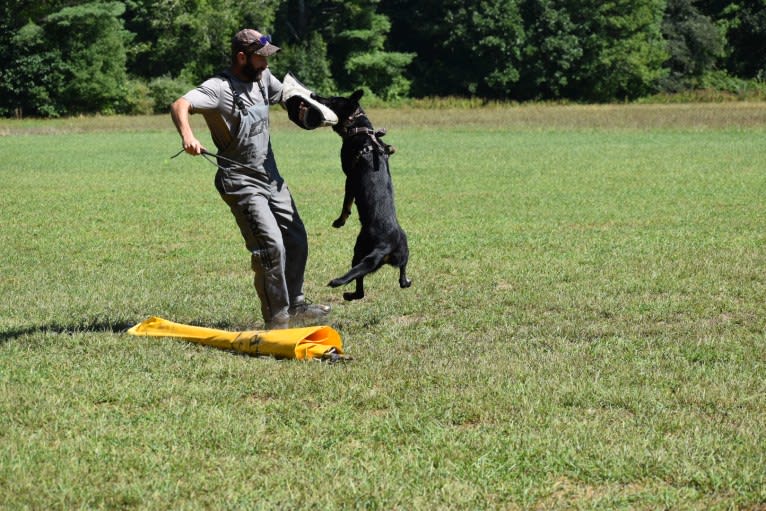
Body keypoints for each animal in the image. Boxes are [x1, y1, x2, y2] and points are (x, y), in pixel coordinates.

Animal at [314, 90, 414, 302]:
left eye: (332, 100)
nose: (314, 94)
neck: (360, 130)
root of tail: (386, 246)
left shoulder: (349, 179)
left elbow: (346, 204)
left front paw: (339, 221)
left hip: (359, 251)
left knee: (359, 284)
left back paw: (349, 294)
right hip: (404, 252)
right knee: (401, 278)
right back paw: (406, 281)